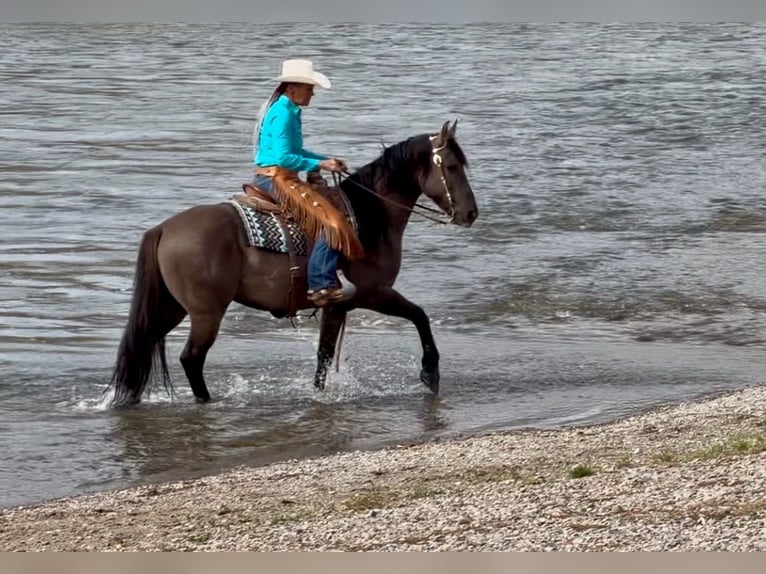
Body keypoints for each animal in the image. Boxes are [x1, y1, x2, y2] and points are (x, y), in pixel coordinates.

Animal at [109, 120, 478, 407]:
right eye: (451, 166)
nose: (471, 213)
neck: (367, 219)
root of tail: (163, 229)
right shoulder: (374, 293)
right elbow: (419, 315)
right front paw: (430, 372)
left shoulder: (337, 306)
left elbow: (324, 355)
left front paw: (319, 395)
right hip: (205, 313)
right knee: (192, 358)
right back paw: (206, 401)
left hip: (171, 308)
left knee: (142, 345)